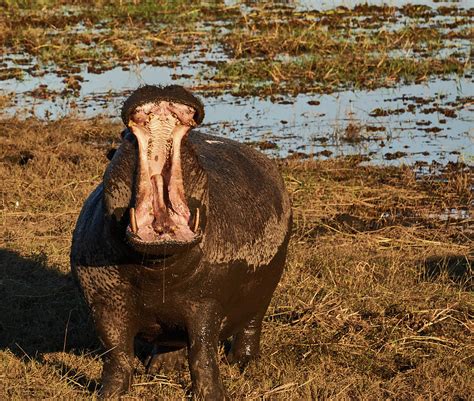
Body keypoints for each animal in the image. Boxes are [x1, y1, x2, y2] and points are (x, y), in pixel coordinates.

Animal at [69, 84, 292, 396]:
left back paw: (244, 364)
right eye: (123, 137)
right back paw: (161, 369)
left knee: (250, 327)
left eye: (190, 147)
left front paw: (213, 395)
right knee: (171, 340)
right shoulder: (105, 304)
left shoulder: (206, 303)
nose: (160, 86)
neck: (156, 267)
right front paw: (109, 395)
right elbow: (117, 355)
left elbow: (202, 353)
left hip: (263, 295)